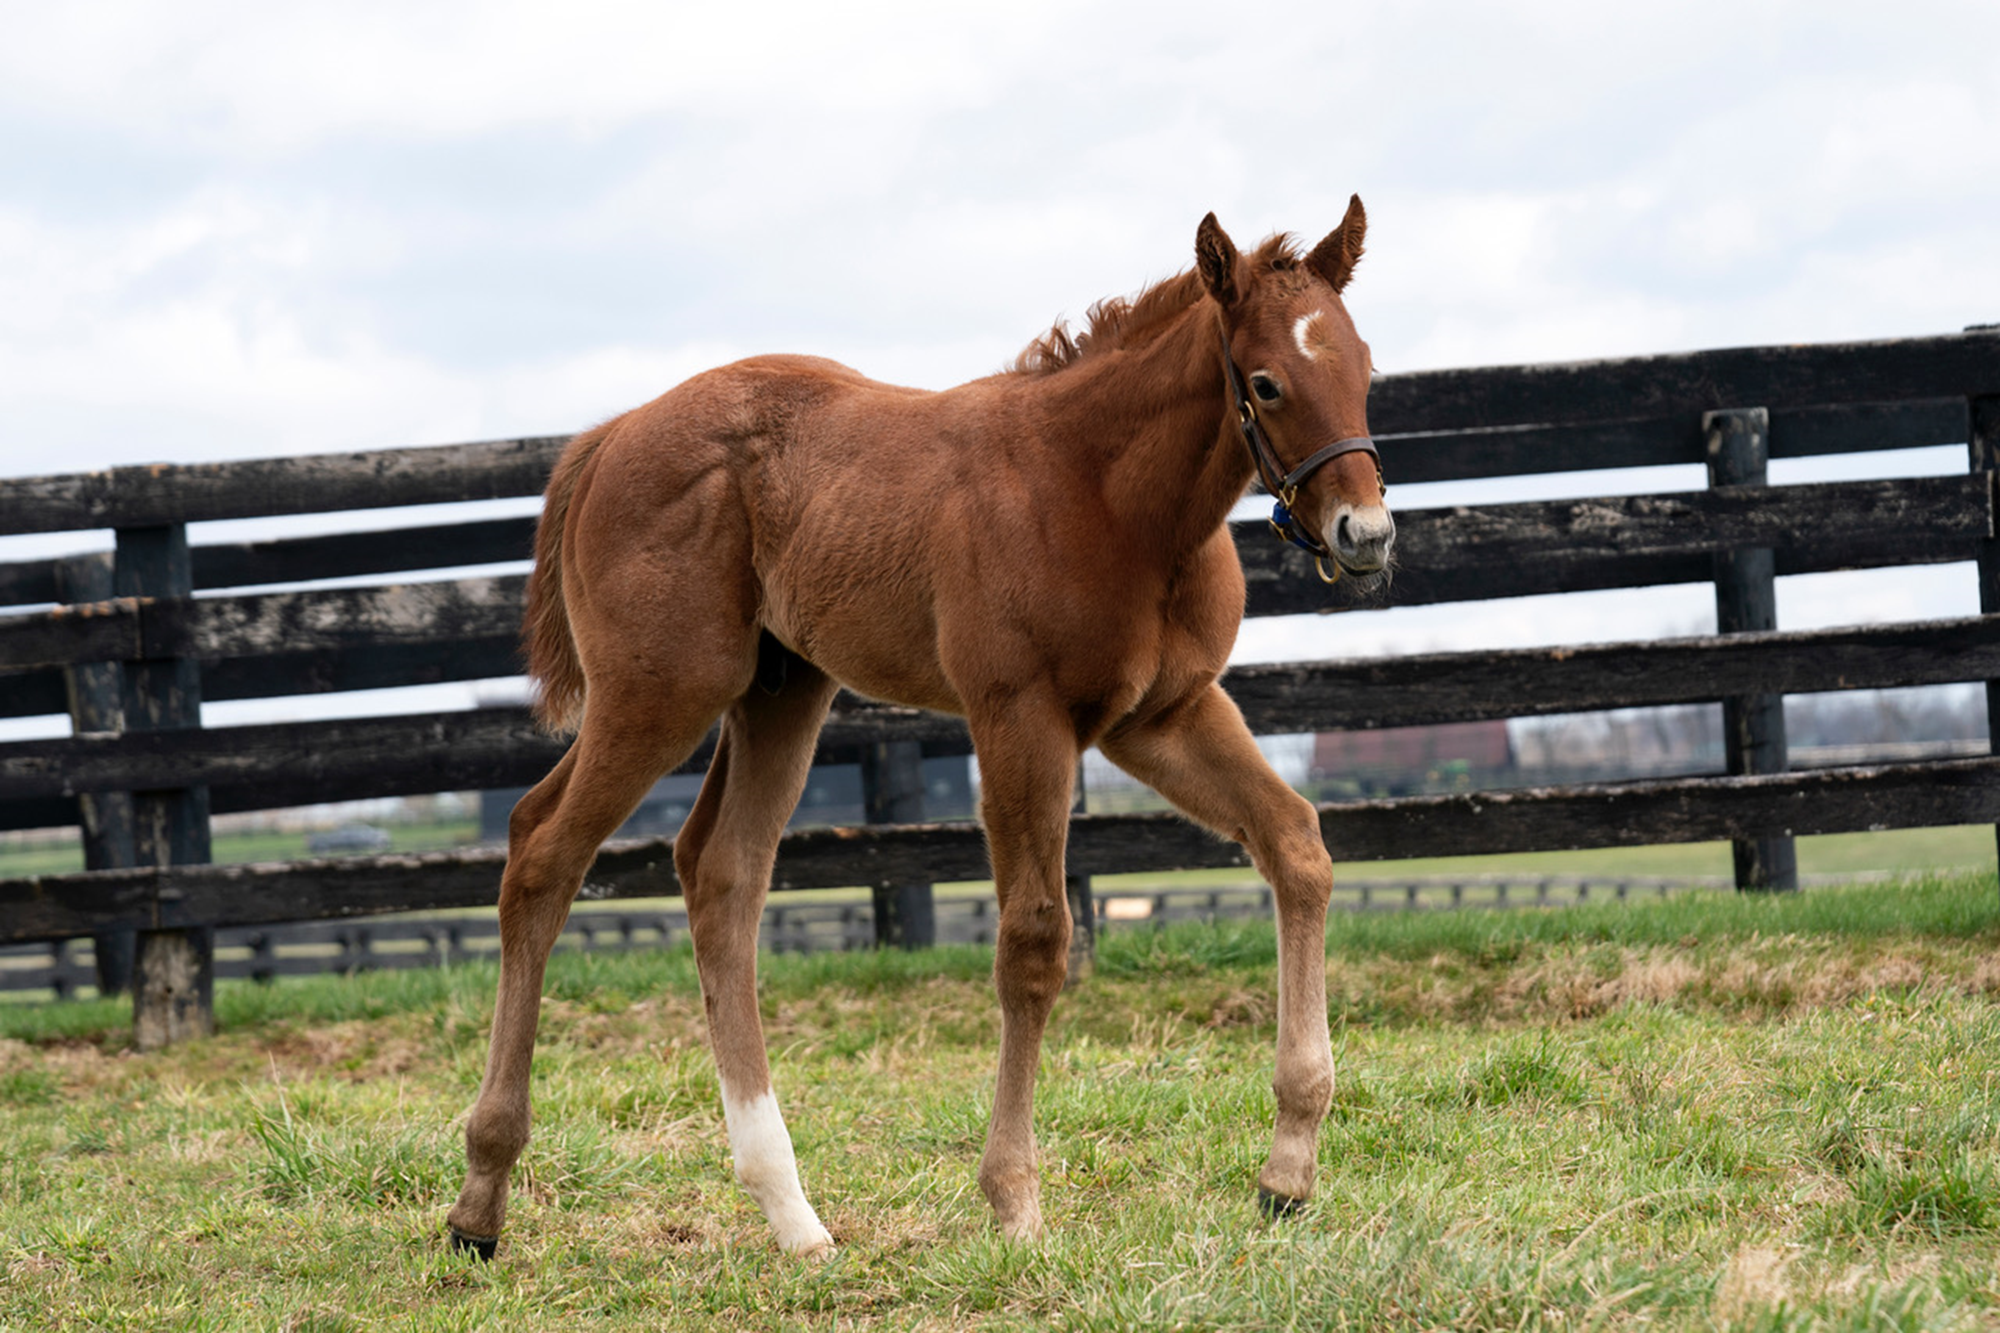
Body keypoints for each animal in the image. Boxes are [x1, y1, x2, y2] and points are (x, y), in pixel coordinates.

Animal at [452, 197, 1392, 1256]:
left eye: (1364, 369)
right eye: (1266, 383)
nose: (1366, 535)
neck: (1102, 492)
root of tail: (612, 434)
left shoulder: (1162, 714)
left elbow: (1296, 845)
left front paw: (1288, 1168)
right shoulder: (1018, 716)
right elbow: (1034, 940)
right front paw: (1014, 1199)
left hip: (780, 692)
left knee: (720, 872)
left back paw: (793, 1213)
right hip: (658, 693)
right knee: (542, 851)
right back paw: (481, 1199)